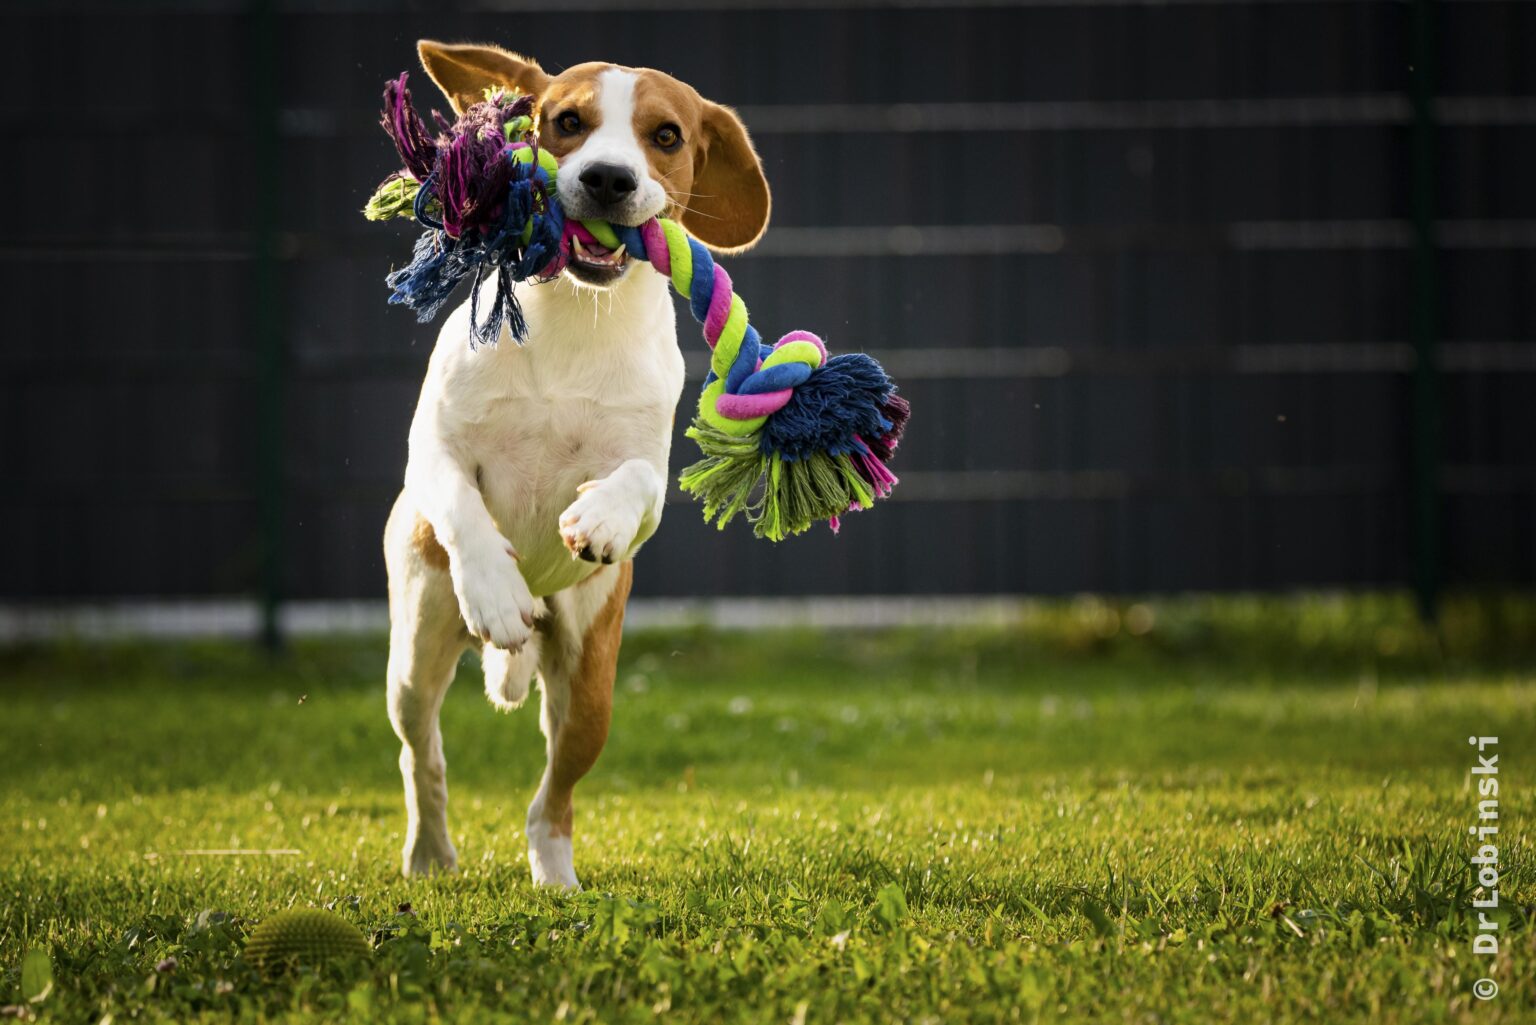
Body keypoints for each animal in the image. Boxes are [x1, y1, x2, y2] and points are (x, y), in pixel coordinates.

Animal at [379, 40, 774, 891]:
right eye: (566, 122)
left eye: (666, 136)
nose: (608, 179)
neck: (574, 317)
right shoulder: (434, 446)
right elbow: (458, 500)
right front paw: (494, 589)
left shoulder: (649, 458)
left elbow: (639, 482)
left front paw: (597, 516)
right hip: (416, 645)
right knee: (422, 754)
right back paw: (429, 853)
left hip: (591, 675)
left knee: (553, 793)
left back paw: (555, 876)